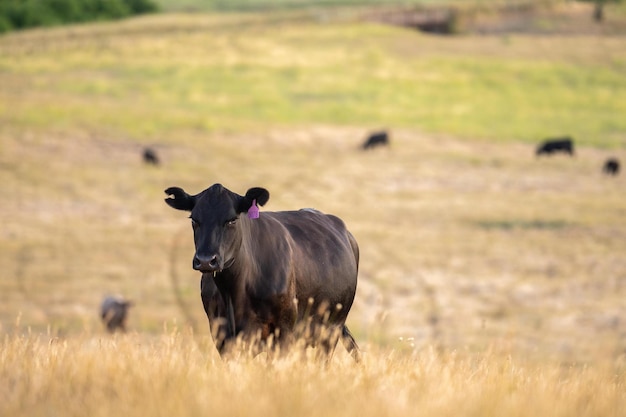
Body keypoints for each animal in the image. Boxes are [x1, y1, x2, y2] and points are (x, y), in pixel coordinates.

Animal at [165, 182, 360, 360]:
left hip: (331, 330)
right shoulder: (222, 336)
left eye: (232, 220)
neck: (234, 293)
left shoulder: (283, 332)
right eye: (194, 220)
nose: (206, 260)